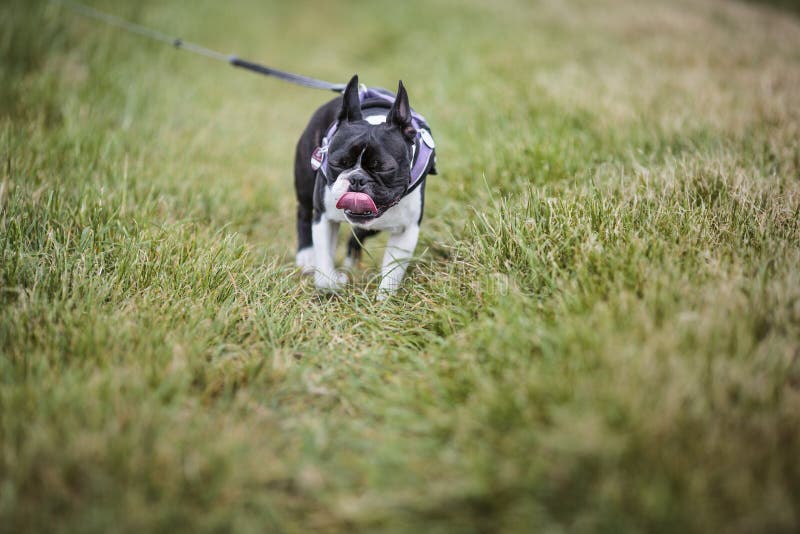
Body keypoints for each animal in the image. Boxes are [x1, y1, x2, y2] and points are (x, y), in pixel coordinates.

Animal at [292, 74, 434, 302]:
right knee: (303, 212)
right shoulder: (324, 217)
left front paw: (384, 301)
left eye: (384, 167)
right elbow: (324, 265)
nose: (357, 179)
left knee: (359, 234)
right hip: (305, 181)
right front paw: (333, 282)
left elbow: (393, 271)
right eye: (337, 163)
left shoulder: (407, 229)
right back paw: (306, 256)